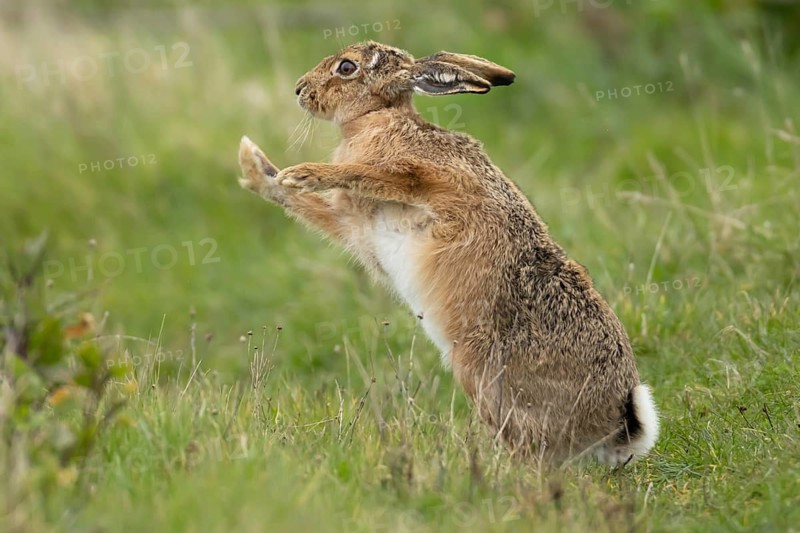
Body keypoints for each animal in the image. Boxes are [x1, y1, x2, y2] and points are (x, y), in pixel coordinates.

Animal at [237, 41, 659, 465]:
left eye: (346, 67)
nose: (299, 89)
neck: (376, 116)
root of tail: (619, 427)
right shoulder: (353, 222)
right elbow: (303, 203)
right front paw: (254, 165)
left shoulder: (424, 177)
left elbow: (370, 174)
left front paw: (303, 173)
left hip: (485, 379)